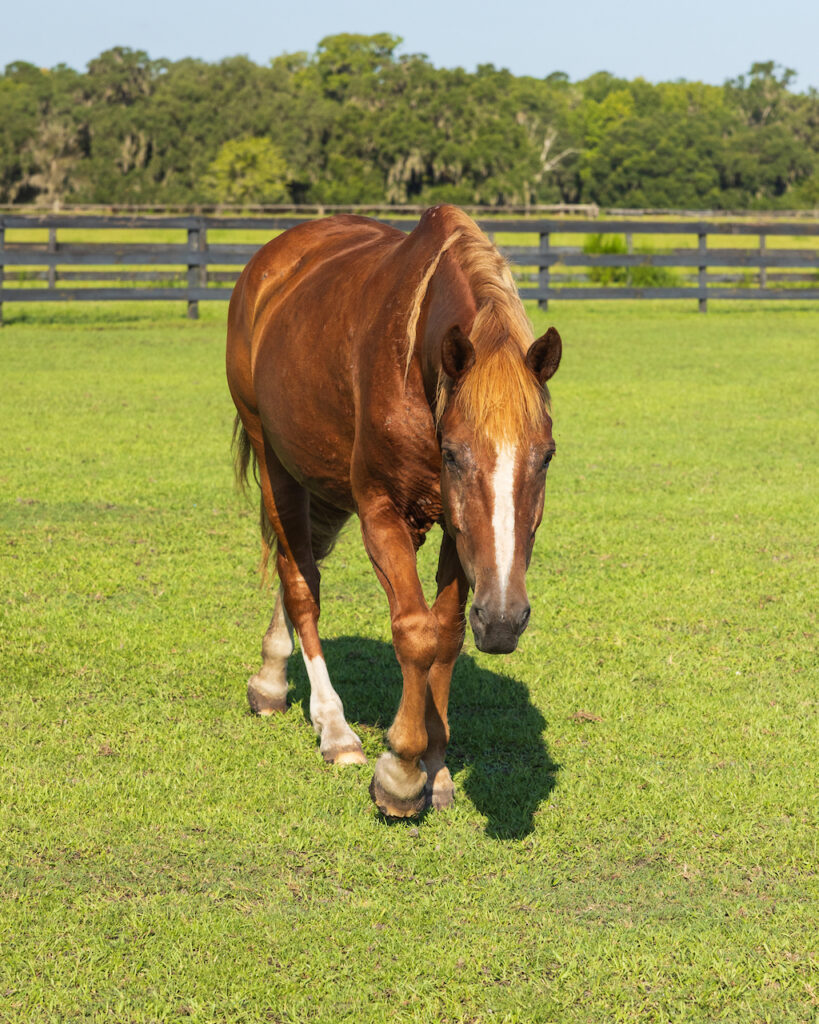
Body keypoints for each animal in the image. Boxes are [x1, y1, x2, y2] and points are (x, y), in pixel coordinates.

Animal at [226, 204, 561, 818]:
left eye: (546, 455)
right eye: (453, 453)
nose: (505, 621)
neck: (416, 366)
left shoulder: (459, 535)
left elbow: (446, 633)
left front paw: (437, 767)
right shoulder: (380, 512)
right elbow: (415, 632)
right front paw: (401, 773)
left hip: (324, 481)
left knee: (301, 570)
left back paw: (270, 679)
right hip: (276, 463)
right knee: (299, 581)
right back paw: (334, 729)